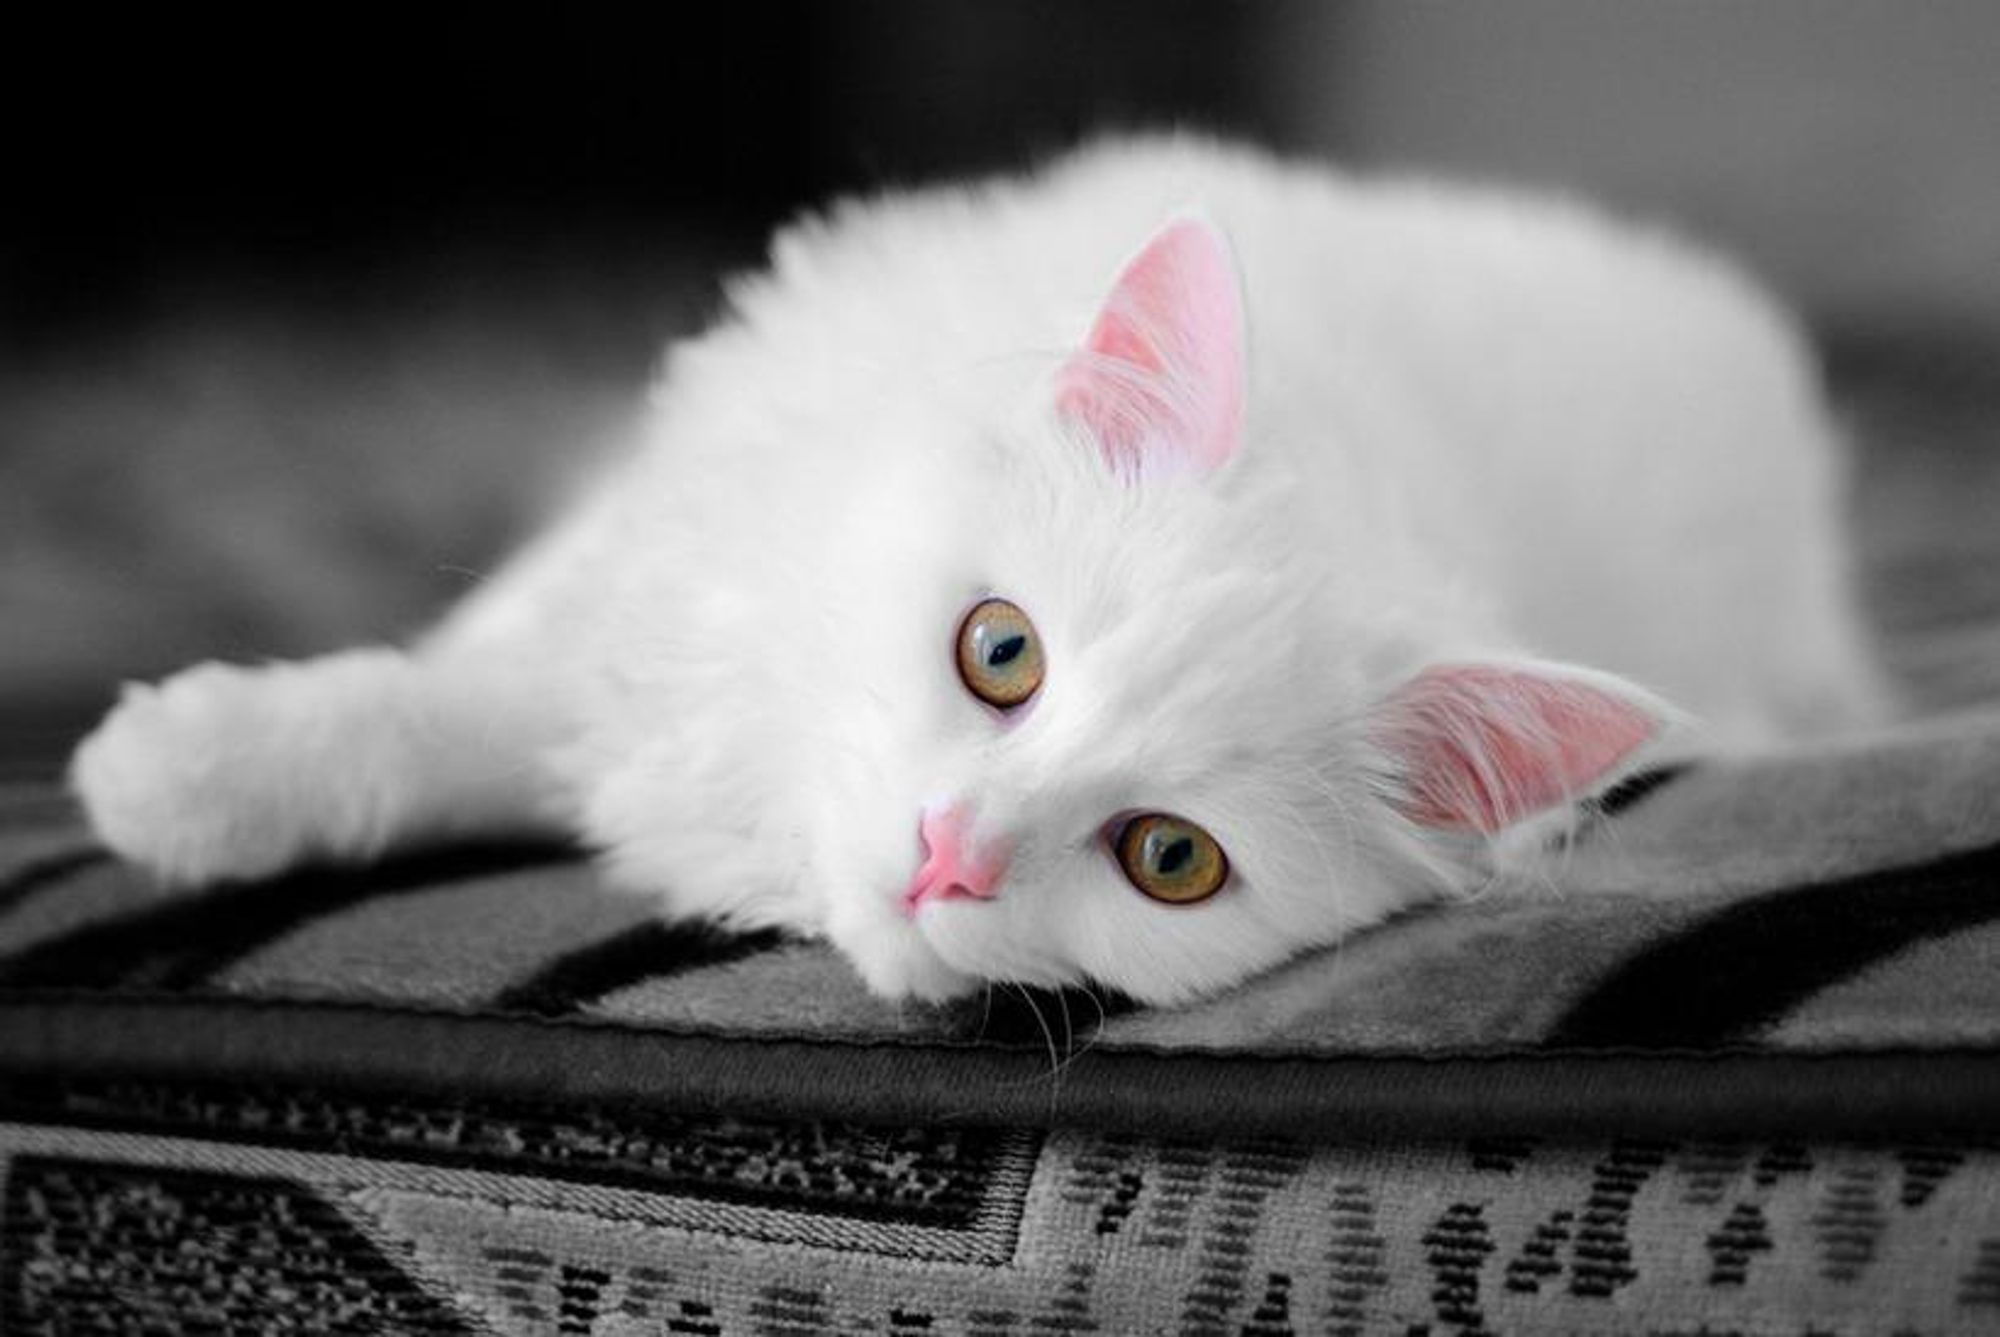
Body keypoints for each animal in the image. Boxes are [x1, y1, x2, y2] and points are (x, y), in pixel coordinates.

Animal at [70, 141, 1888, 1008]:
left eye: (1169, 859)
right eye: (1000, 652)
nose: (952, 855)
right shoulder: (668, 562)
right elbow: (436, 692)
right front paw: (171, 772)